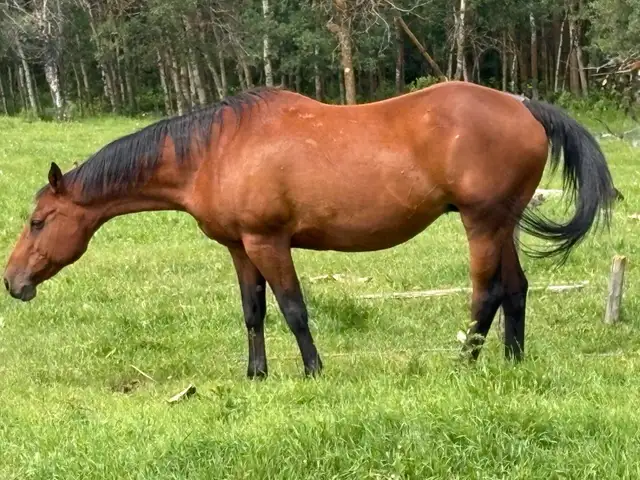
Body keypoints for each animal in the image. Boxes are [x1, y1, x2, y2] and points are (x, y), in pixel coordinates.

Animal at [3, 81, 615, 379]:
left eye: (38, 221)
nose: (13, 281)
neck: (215, 151)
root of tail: (523, 106)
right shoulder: (240, 247)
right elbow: (254, 311)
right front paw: (256, 374)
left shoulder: (268, 241)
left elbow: (294, 309)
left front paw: (313, 371)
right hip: (502, 222)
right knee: (516, 290)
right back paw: (512, 363)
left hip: (481, 223)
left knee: (485, 293)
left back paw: (463, 365)